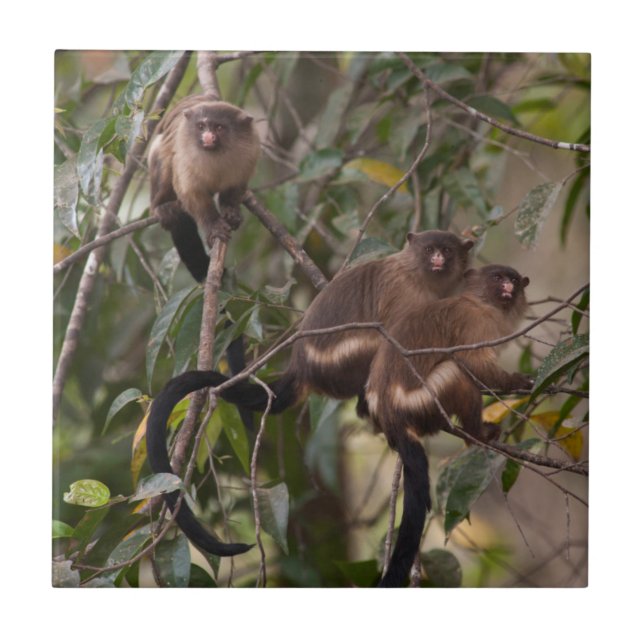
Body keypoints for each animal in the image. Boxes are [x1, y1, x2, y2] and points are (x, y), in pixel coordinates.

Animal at [145, 229, 474, 559]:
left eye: (447, 250)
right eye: (430, 249)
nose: (438, 258)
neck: (421, 278)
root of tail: (303, 368)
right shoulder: (404, 298)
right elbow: (396, 338)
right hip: (347, 360)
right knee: (376, 344)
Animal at [148, 94, 261, 282]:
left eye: (219, 127)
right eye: (201, 127)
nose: (208, 136)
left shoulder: (250, 153)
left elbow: (236, 186)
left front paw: (231, 211)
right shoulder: (184, 157)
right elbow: (191, 194)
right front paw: (213, 225)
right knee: (162, 159)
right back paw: (162, 207)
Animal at [363, 264, 533, 587]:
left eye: (514, 281)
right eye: (497, 278)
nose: (507, 287)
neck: (481, 303)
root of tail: (393, 414)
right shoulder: (475, 324)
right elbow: (473, 364)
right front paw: (517, 381)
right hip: (425, 401)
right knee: (457, 371)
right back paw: (476, 435)